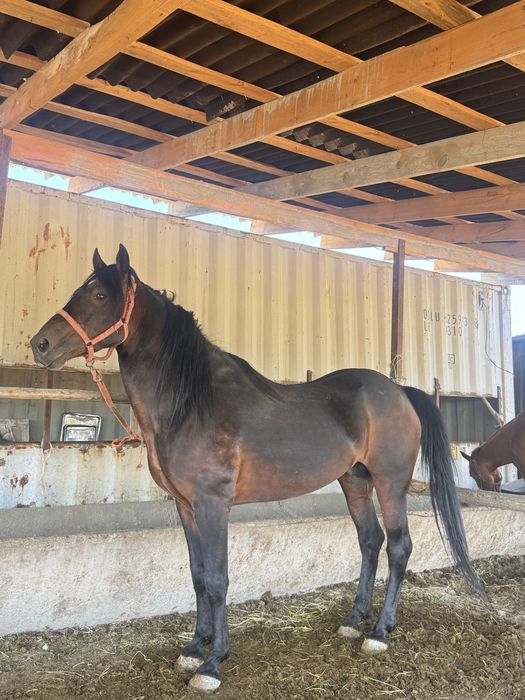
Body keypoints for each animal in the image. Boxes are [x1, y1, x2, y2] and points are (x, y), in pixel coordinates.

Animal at [31, 245, 483, 693]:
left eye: (99, 296)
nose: (40, 344)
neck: (193, 403)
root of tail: (400, 392)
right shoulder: (185, 506)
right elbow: (198, 575)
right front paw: (194, 647)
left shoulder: (213, 504)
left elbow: (218, 579)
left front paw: (213, 663)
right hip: (354, 480)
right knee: (370, 541)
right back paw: (354, 621)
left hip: (390, 483)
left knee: (398, 547)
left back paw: (380, 632)